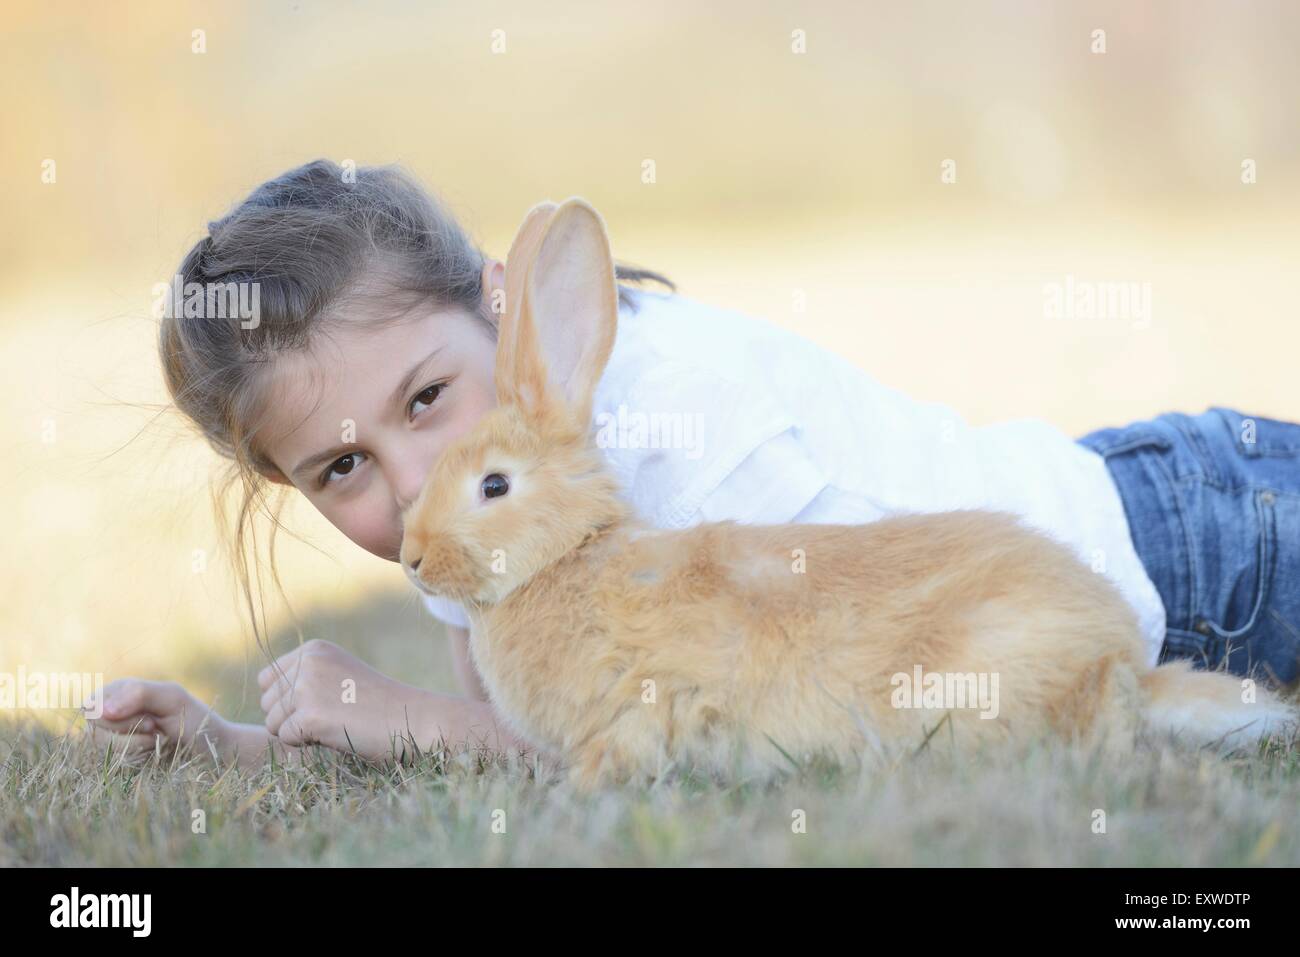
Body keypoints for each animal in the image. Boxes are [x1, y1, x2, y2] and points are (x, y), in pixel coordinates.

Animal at [400, 196, 1294, 790]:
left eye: (493, 485)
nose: (412, 559)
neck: (570, 558)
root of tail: (1120, 658)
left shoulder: (642, 704)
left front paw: (577, 789)